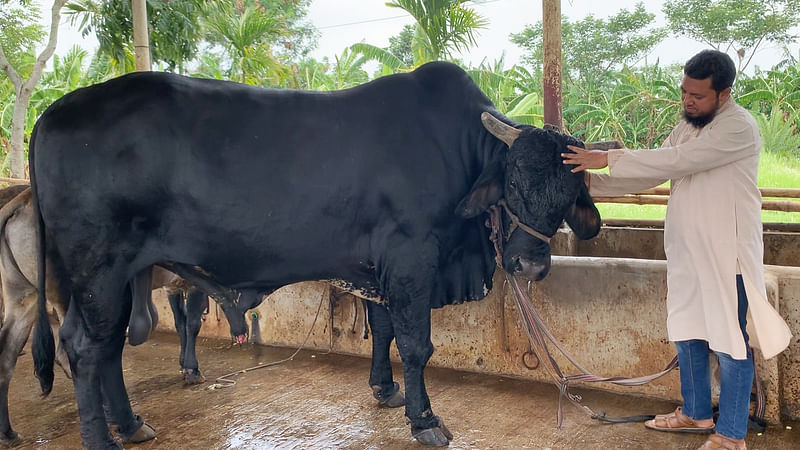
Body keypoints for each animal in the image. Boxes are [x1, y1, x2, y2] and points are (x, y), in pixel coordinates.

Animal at [29, 60, 600, 446]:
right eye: (515, 182)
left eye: (570, 193)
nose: (530, 265)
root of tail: (53, 111)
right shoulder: (411, 259)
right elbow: (417, 344)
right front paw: (425, 419)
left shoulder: (375, 270)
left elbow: (385, 331)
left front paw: (385, 390)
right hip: (98, 269)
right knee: (86, 348)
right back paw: (103, 438)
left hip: (116, 276)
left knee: (104, 346)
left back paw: (129, 424)